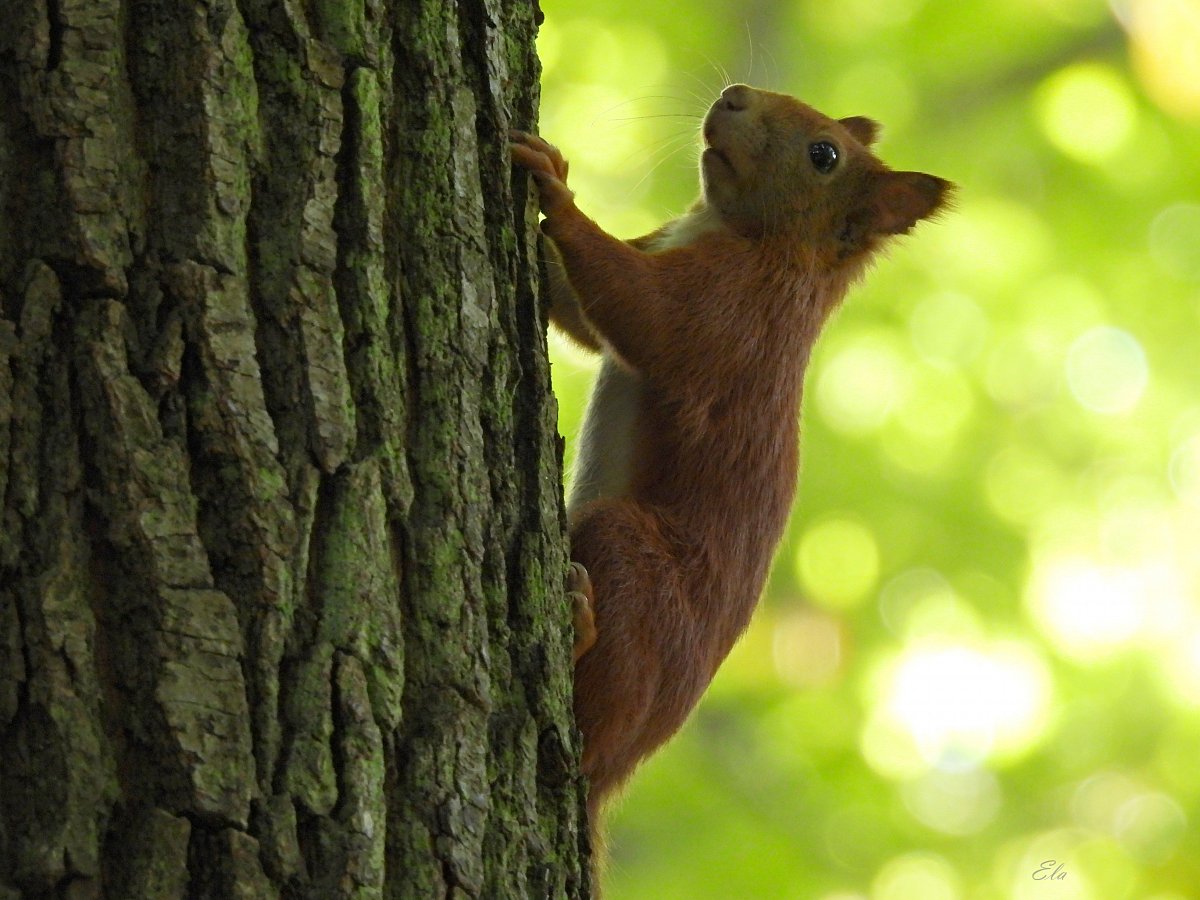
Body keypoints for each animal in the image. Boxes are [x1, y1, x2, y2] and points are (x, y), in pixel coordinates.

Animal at [511, 79, 950, 844]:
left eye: (825, 154)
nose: (734, 94)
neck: (746, 234)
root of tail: (616, 776)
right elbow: (581, 318)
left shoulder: (733, 313)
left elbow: (641, 312)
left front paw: (557, 191)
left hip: (636, 567)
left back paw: (577, 626)